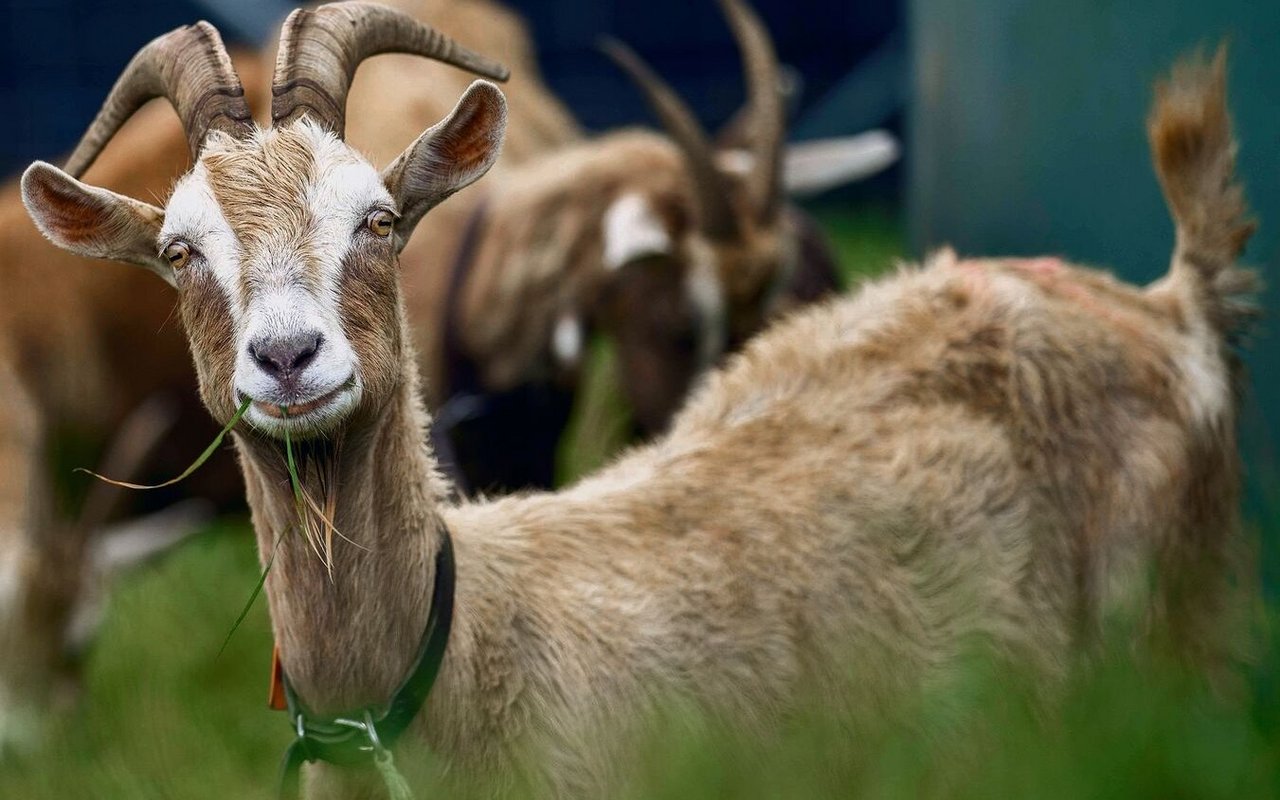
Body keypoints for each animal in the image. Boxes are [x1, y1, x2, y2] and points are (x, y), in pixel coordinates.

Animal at [22, 0, 1259, 788]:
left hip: (1178, 635)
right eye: (178, 251)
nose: (288, 358)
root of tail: (1166, 301)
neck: (473, 644)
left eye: (378, 216)